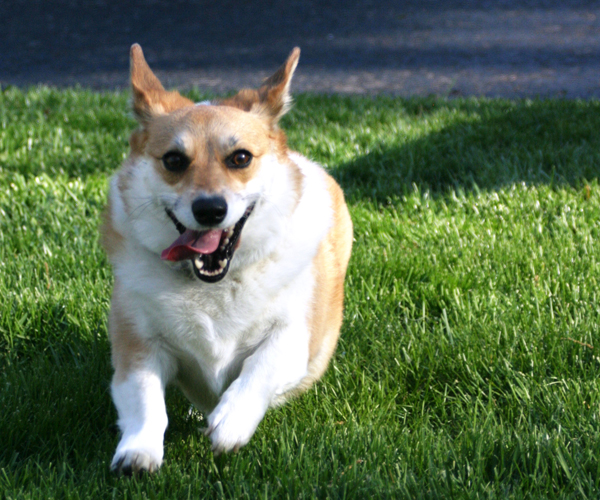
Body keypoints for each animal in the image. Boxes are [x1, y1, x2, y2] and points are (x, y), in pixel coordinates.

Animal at [99, 45, 352, 474]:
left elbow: (261, 366)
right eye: (173, 160)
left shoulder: (293, 336)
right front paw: (138, 452)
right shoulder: (137, 345)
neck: (213, 284)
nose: (210, 209)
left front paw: (231, 420)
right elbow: (146, 401)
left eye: (240, 158)